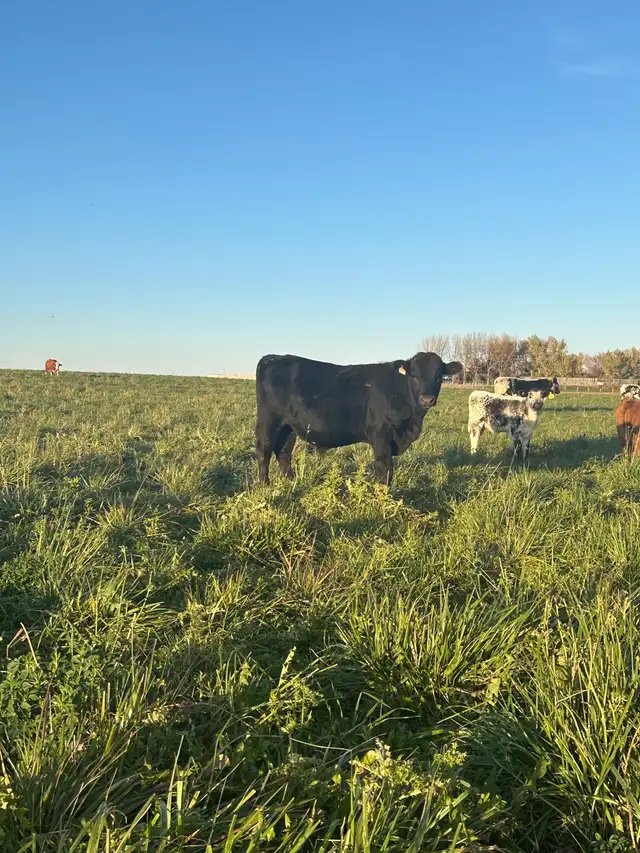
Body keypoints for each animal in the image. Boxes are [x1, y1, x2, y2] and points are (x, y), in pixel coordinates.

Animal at [255, 352, 463, 485]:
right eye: (414, 376)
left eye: (439, 376)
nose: (427, 399)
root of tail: (272, 357)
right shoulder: (380, 434)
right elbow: (385, 467)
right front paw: (385, 495)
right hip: (269, 422)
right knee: (264, 450)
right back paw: (265, 485)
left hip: (288, 427)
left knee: (283, 452)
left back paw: (291, 483)